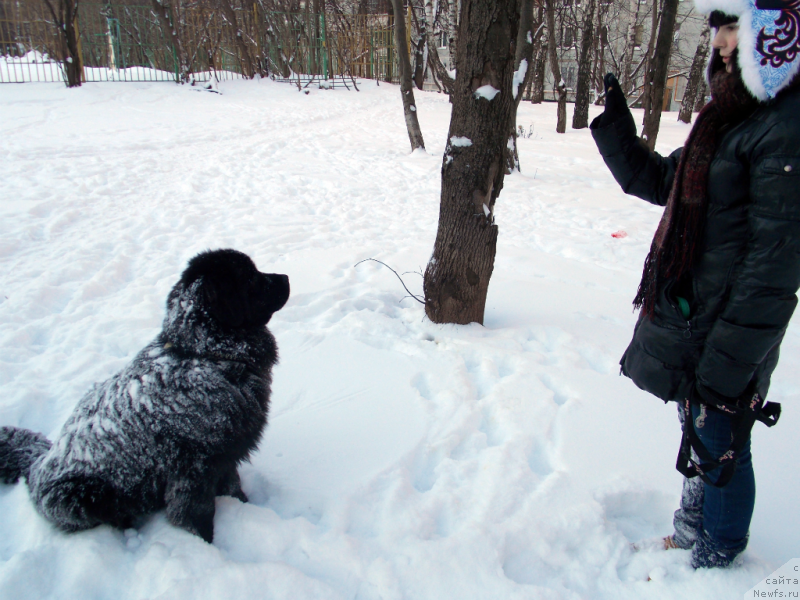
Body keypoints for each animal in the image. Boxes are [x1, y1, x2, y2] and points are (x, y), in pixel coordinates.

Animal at [0, 248, 290, 544]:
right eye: (250, 277)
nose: (287, 277)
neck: (206, 355)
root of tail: (37, 464)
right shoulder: (195, 468)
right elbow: (196, 514)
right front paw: (203, 546)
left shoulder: (226, 452)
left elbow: (233, 486)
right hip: (79, 496)